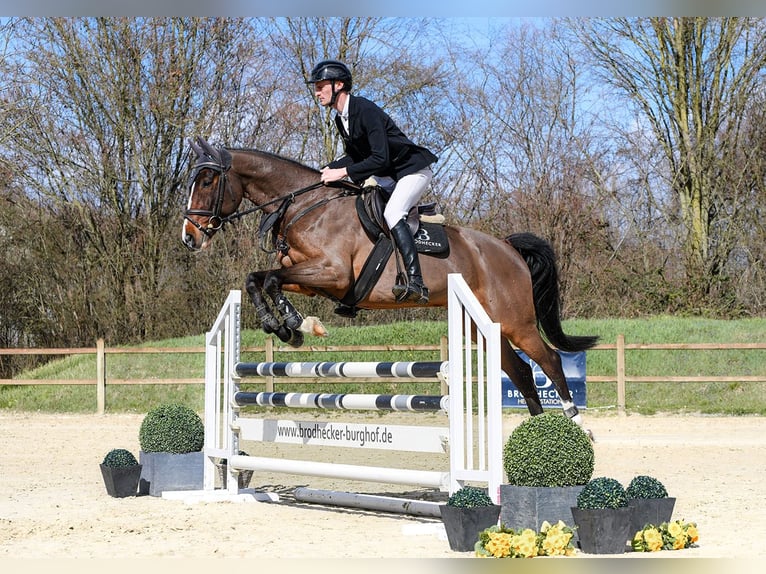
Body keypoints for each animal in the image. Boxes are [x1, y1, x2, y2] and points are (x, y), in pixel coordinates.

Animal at [182, 136, 598, 429]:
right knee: (521, 371)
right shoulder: (311, 277)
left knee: (549, 360)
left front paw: (288, 326)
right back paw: (535, 434)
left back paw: (576, 428)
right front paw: (292, 326)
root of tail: (508, 248)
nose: (189, 238)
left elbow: (268, 279)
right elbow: (260, 279)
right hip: (482, 326)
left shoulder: (333, 273)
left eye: (208, 179)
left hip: (515, 320)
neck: (307, 206)